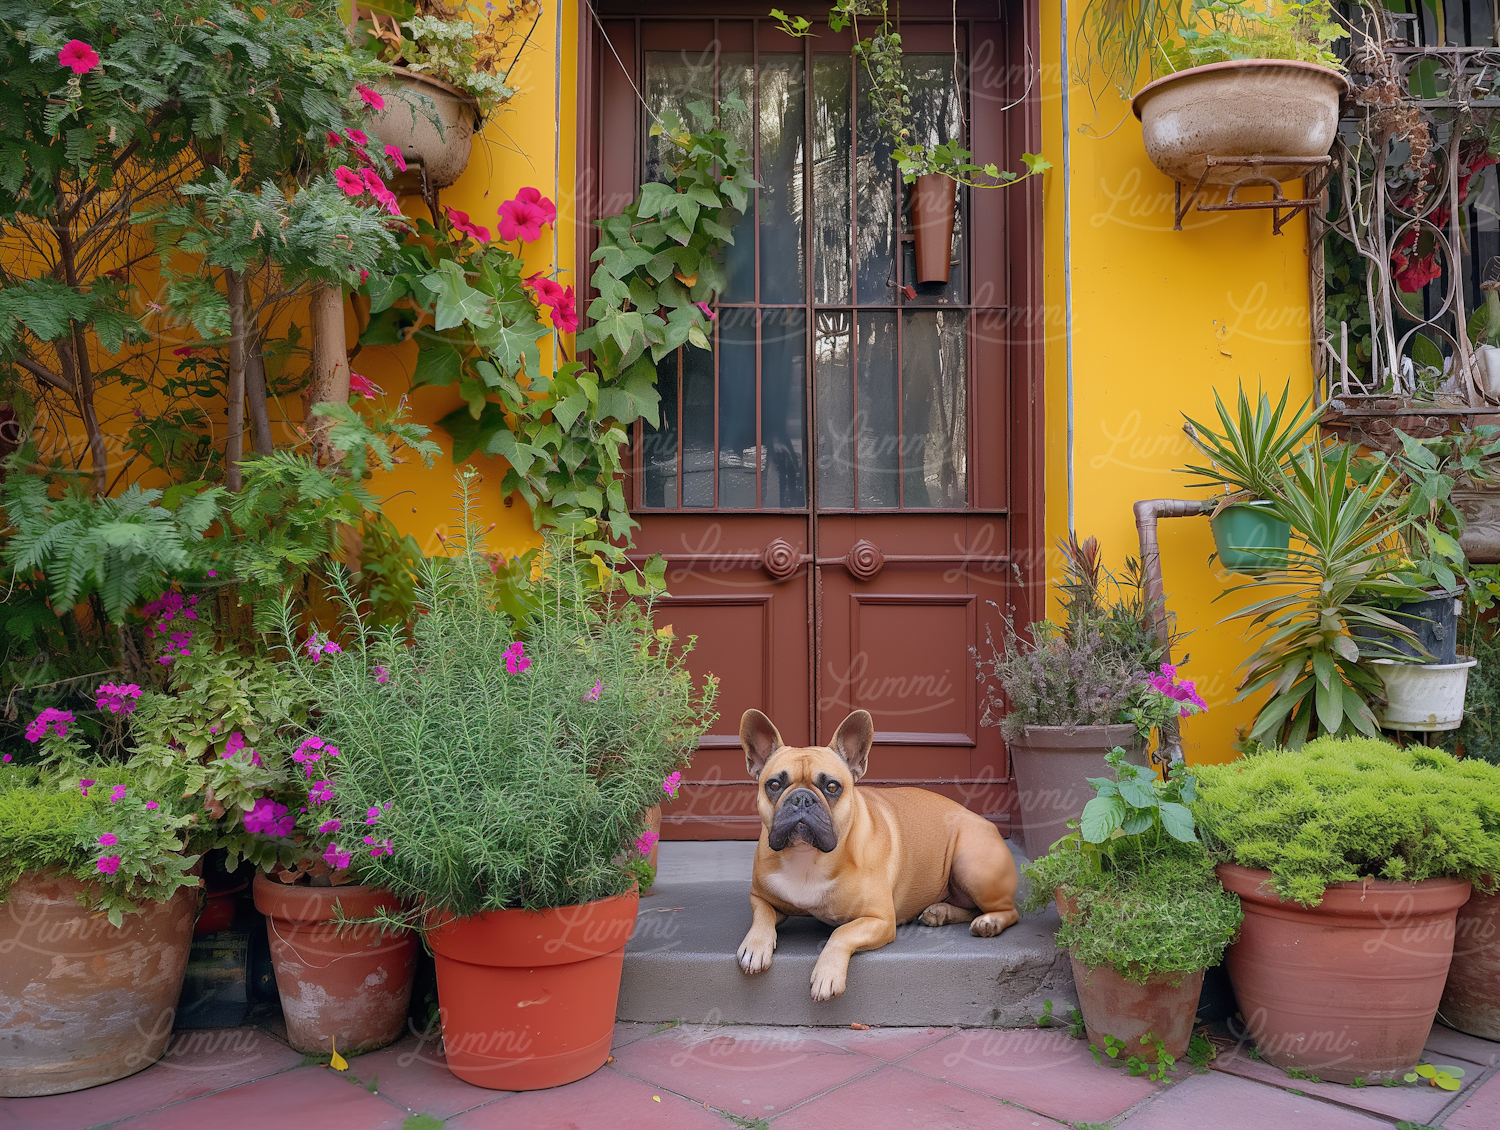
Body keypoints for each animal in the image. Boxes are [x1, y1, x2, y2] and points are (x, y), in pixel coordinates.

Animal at [735, 708, 1020, 1002]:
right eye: (774, 784)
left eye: (832, 787)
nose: (801, 798)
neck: (809, 857)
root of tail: (987, 824)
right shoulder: (759, 895)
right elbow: (763, 914)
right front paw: (755, 946)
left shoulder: (880, 920)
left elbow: (842, 932)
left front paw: (827, 974)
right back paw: (941, 912)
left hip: (970, 864)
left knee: (1008, 911)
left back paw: (988, 923)